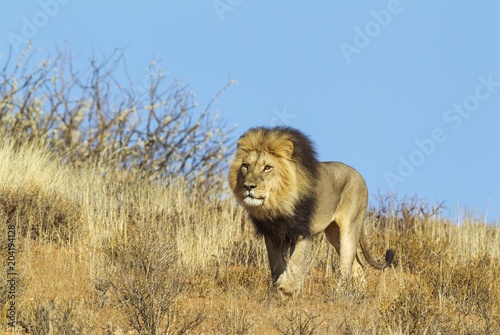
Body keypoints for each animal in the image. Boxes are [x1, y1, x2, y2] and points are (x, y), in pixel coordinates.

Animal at [229, 126, 396, 296]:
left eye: (267, 167)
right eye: (245, 166)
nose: (248, 186)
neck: (279, 203)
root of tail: (358, 174)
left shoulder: (303, 232)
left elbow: (295, 262)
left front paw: (287, 287)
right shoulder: (272, 234)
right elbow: (276, 265)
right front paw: (279, 290)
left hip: (350, 228)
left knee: (346, 265)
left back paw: (339, 293)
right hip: (334, 235)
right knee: (358, 265)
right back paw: (359, 292)